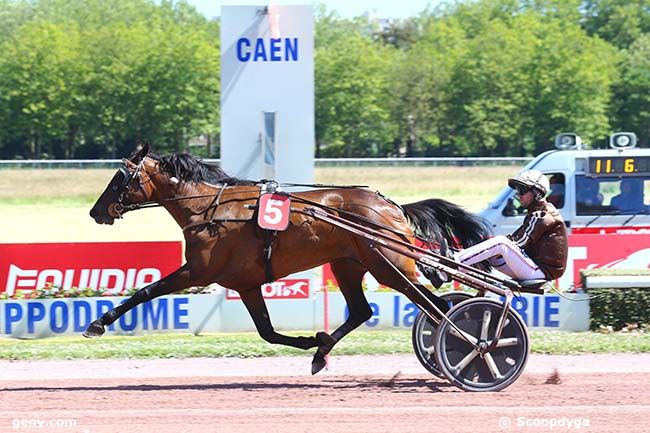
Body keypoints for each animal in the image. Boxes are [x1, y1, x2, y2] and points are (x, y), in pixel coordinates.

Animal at [86, 144, 486, 372]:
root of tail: (392, 207)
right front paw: (312, 341)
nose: (95, 211)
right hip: (348, 265)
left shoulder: (198, 272)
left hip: (388, 267)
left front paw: (98, 323)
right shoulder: (246, 284)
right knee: (364, 311)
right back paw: (322, 353)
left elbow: (145, 292)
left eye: (119, 179)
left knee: (438, 308)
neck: (208, 209)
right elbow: (266, 331)